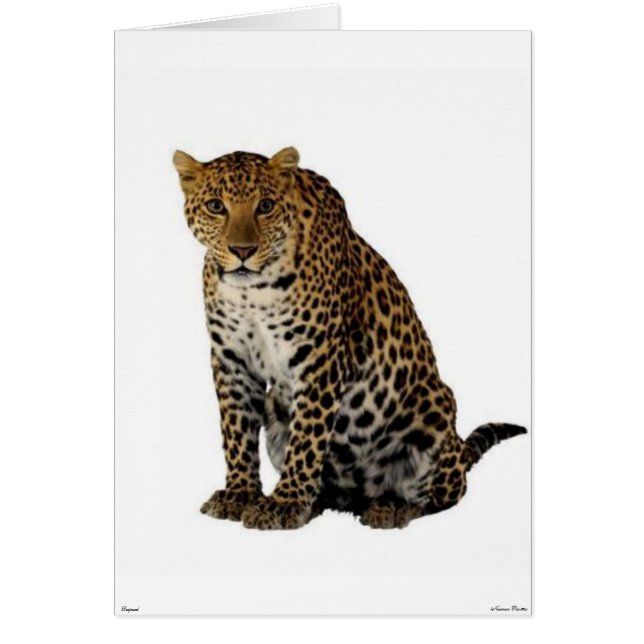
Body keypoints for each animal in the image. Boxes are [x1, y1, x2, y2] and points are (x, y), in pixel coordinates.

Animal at [172, 146, 527, 530]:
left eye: (265, 206)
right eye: (215, 206)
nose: (242, 251)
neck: (252, 291)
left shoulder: (320, 357)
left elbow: (307, 437)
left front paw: (284, 502)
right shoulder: (231, 359)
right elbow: (237, 431)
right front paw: (240, 494)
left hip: (435, 410)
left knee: (444, 495)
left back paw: (391, 506)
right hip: (275, 413)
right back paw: (319, 501)